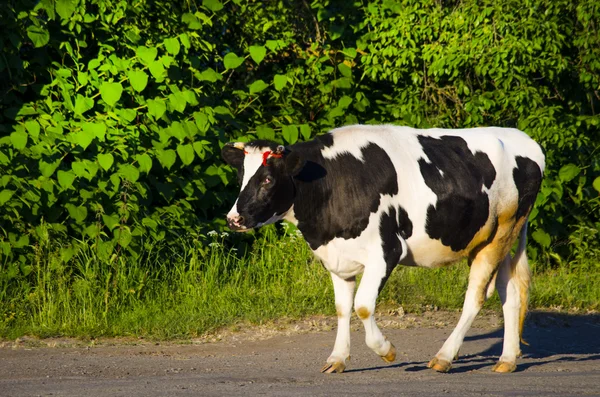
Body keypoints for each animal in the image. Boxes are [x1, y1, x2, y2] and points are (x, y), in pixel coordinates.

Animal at [219, 124, 544, 374]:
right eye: (241, 178)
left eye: (267, 179)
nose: (234, 219)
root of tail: (525, 140)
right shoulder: (337, 256)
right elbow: (342, 308)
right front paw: (337, 358)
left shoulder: (387, 250)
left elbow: (362, 305)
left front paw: (386, 350)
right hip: (497, 239)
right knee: (510, 292)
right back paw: (507, 359)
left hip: (501, 234)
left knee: (475, 297)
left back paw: (444, 357)